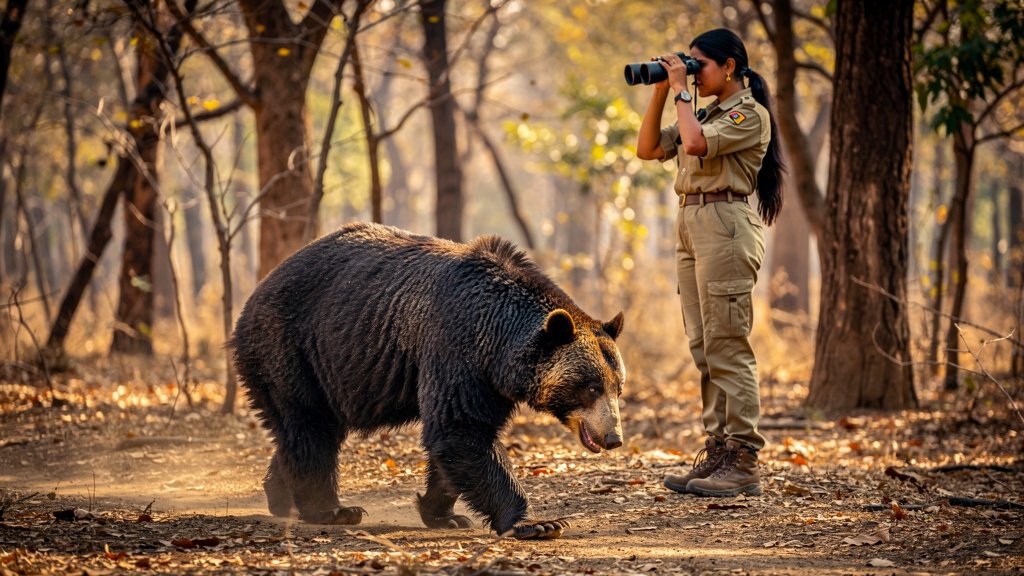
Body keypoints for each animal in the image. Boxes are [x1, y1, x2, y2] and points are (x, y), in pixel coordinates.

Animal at [230, 222, 626, 540]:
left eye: (618, 387)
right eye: (591, 386)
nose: (614, 437)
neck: (498, 341)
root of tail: (255, 294)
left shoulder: (489, 381)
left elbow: (458, 438)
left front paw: (445, 515)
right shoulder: (455, 347)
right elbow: (460, 429)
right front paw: (538, 523)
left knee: (307, 429)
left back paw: (280, 497)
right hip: (291, 349)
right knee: (308, 426)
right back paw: (331, 509)